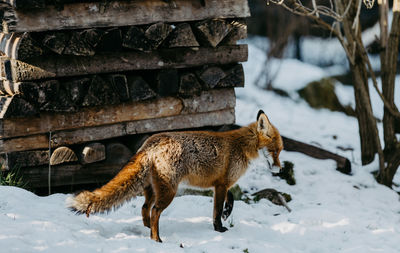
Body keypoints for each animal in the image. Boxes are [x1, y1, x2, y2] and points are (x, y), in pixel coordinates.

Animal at [67, 109, 282, 242]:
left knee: (145, 208)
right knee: (155, 211)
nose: (280, 170)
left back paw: (147, 231)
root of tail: (152, 141)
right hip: (169, 191)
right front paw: (219, 229)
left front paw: (228, 212)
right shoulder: (221, 185)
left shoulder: (221, 183)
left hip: (152, 189)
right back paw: (156, 239)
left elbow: (230, 199)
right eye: (276, 151)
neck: (241, 146)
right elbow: (216, 212)